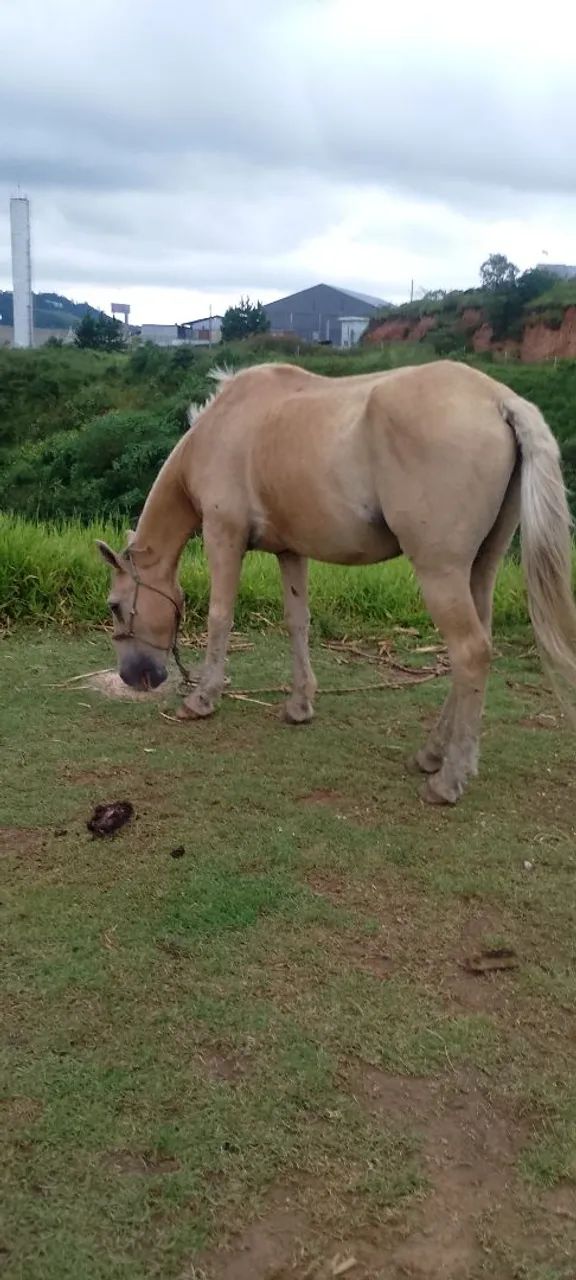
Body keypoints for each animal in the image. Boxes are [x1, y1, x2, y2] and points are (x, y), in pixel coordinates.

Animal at [97, 358, 576, 804]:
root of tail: (499, 400)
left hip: (441, 572)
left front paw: (202, 699)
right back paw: (433, 754)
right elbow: (297, 622)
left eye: (115, 606)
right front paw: (299, 705)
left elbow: (220, 616)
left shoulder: (223, 535)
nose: (133, 677)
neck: (223, 425)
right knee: (477, 652)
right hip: (480, 567)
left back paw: (448, 779)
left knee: (470, 652)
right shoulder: (290, 551)